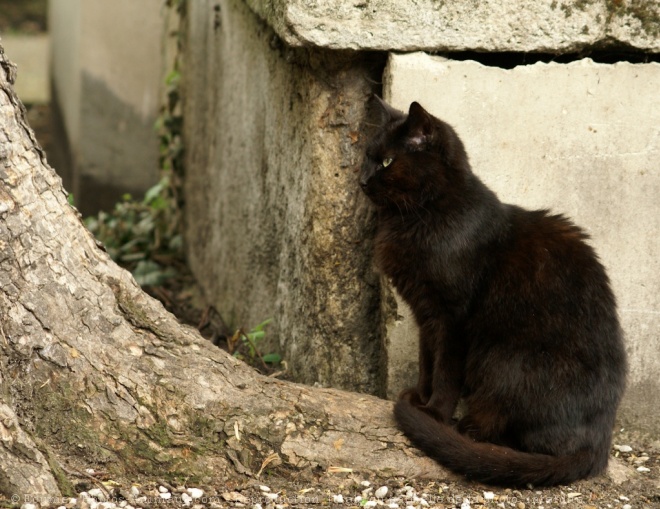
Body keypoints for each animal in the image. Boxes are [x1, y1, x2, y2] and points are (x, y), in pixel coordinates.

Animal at [360, 98, 628, 484]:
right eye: (368, 157)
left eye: (386, 162)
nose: (362, 180)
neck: (423, 215)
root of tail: (599, 446)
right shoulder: (425, 313)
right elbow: (428, 362)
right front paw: (420, 398)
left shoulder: (452, 318)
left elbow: (445, 370)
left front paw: (434, 412)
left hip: (502, 359)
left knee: (510, 433)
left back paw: (464, 428)